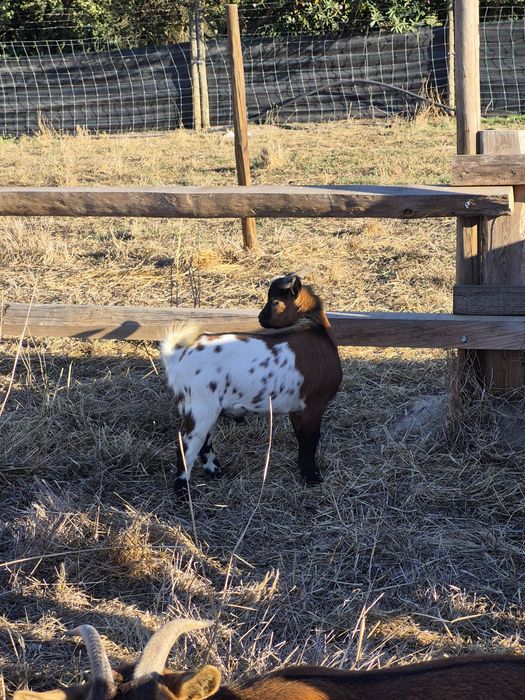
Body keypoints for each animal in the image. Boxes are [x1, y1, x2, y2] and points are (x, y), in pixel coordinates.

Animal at [160, 274, 343, 493]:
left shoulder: (296, 408)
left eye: (275, 301)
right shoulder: (313, 405)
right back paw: (182, 491)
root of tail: (177, 355)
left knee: (205, 443)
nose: (260, 318)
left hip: (209, 410)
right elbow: (311, 439)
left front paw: (304, 472)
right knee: (186, 447)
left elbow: (301, 438)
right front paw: (312, 477)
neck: (316, 330)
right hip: (199, 408)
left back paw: (215, 471)